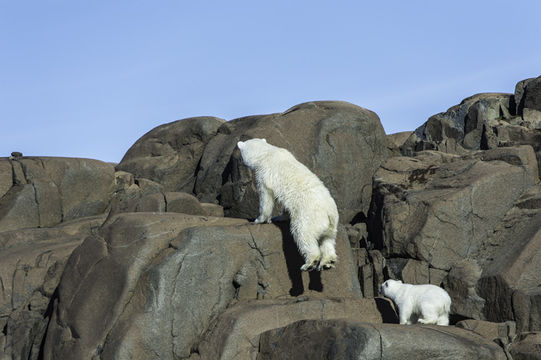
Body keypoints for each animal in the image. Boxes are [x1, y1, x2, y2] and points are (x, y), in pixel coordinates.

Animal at [236, 139, 338, 272]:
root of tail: (329, 213)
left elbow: (266, 198)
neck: (267, 153)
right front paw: (278, 217)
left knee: (303, 234)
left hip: (309, 217)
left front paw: (259, 220)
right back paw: (327, 262)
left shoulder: (264, 174)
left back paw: (309, 263)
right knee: (328, 240)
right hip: (330, 226)